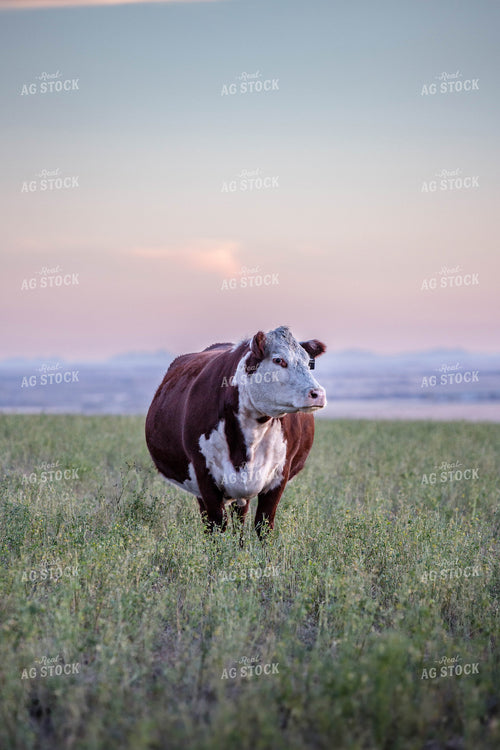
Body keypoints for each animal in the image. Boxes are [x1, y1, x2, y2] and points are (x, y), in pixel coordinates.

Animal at [145, 325, 327, 540]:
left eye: (310, 363)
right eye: (278, 360)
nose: (317, 394)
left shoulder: (280, 474)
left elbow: (264, 525)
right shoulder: (203, 472)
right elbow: (216, 526)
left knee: (240, 520)